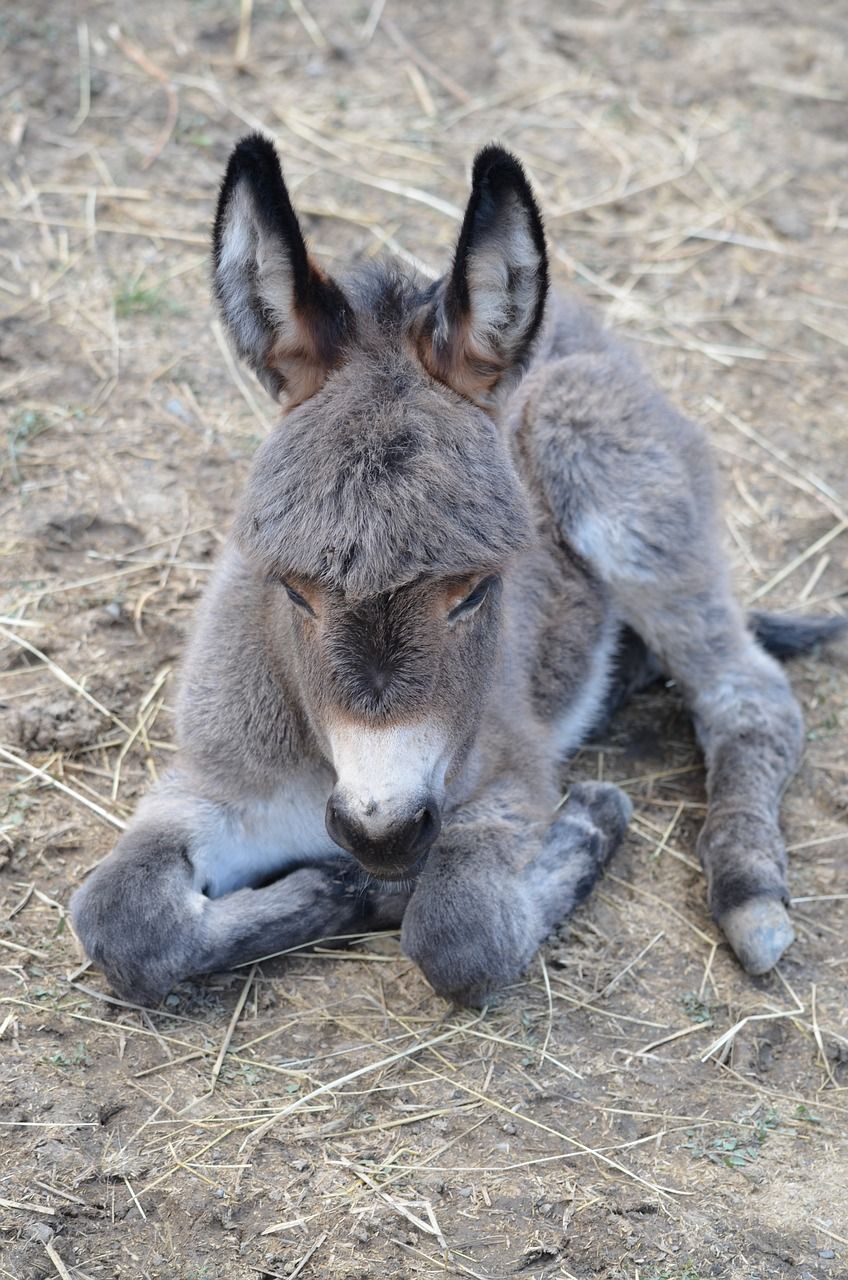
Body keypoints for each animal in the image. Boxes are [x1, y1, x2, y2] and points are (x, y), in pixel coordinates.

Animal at [71, 135, 845, 1003]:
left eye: (476, 591)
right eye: (292, 591)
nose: (380, 833)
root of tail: (579, 324)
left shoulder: (509, 777)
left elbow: (460, 931)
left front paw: (586, 824)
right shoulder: (212, 780)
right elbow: (125, 916)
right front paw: (334, 889)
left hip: (610, 470)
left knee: (749, 694)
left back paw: (750, 894)